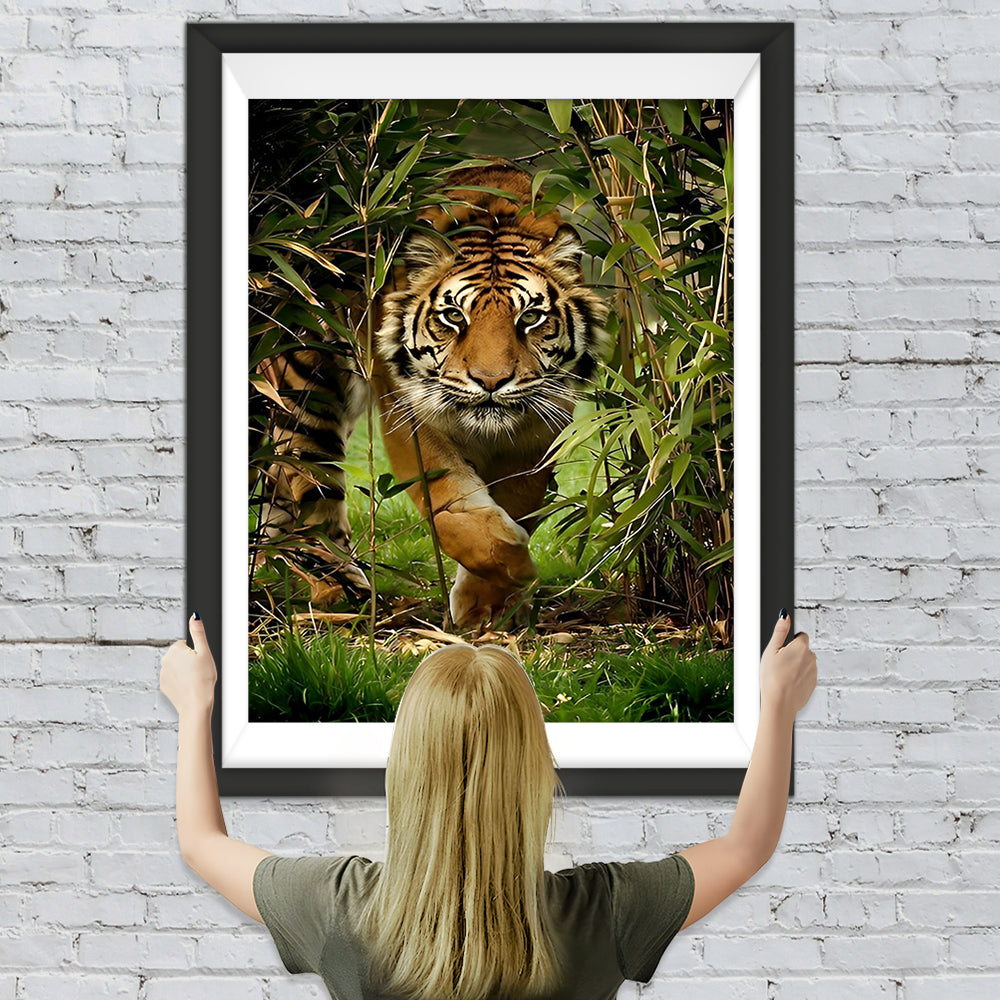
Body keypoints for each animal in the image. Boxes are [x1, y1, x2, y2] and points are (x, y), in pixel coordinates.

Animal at [254, 163, 611, 629]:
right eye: (454, 316)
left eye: (531, 317)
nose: (491, 381)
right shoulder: (410, 414)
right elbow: (452, 509)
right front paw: (514, 568)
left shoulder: (538, 427)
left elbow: (518, 502)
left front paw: (489, 606)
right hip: (306, 393)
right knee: (309, 494)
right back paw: (340, 593)